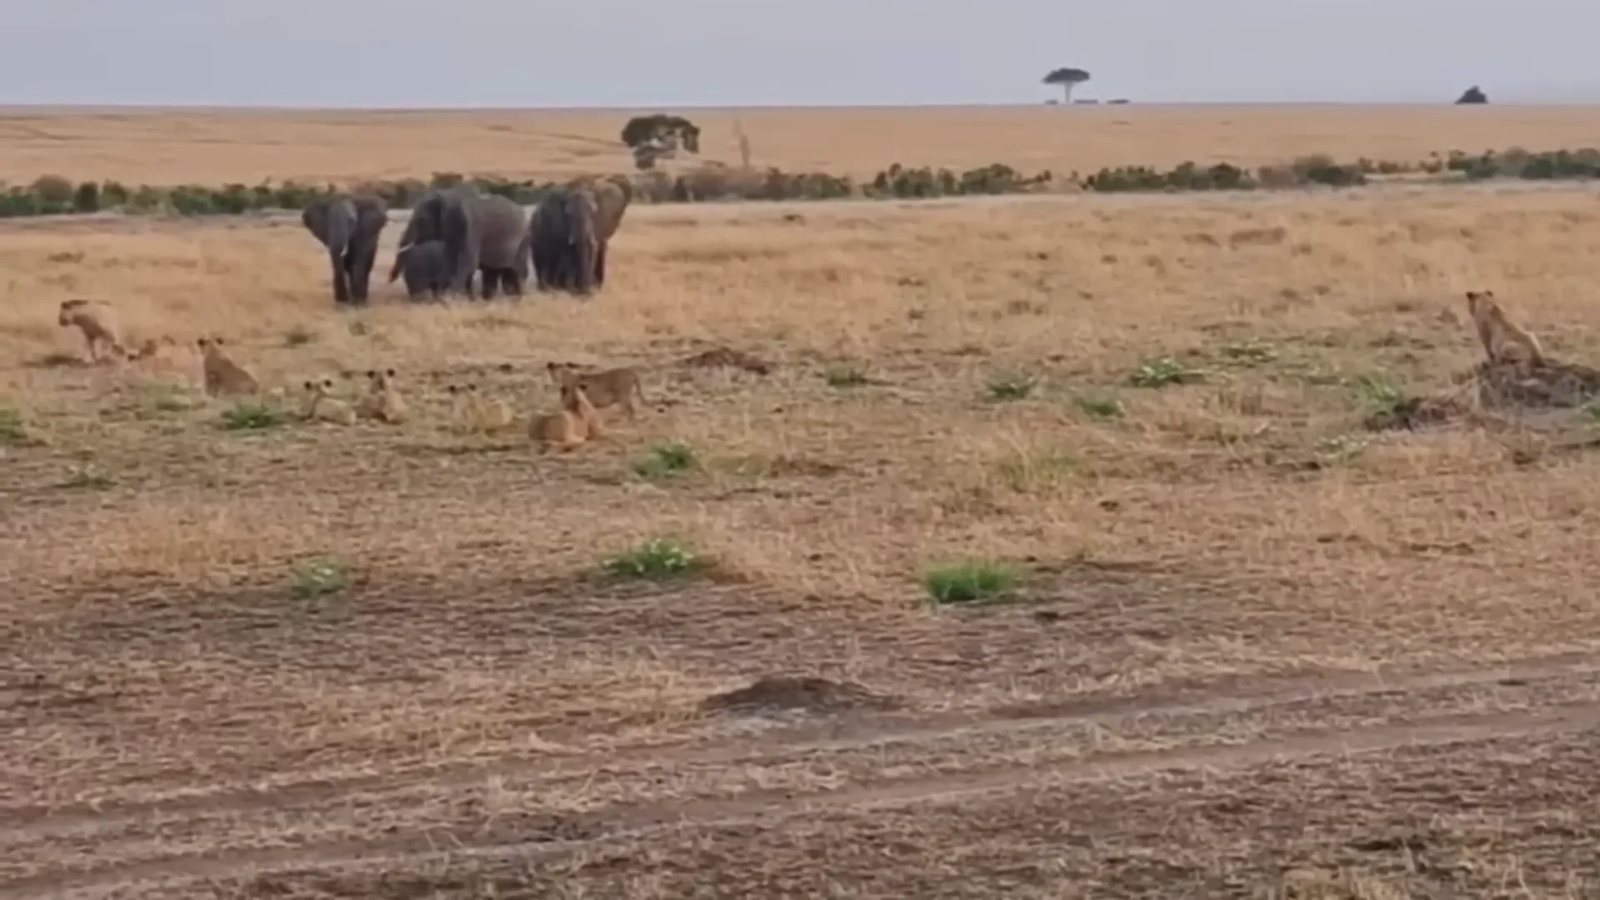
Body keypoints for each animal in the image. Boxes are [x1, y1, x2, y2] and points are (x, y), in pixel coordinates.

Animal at [393, 187, 531, 299]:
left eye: (420, 220)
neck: (446, 196)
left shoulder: (469, 226)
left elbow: (467, 261)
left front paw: (452, 297)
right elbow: (449, 260)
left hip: (523, 241)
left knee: (515, 272)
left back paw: (516, 297)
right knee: (493, 272)